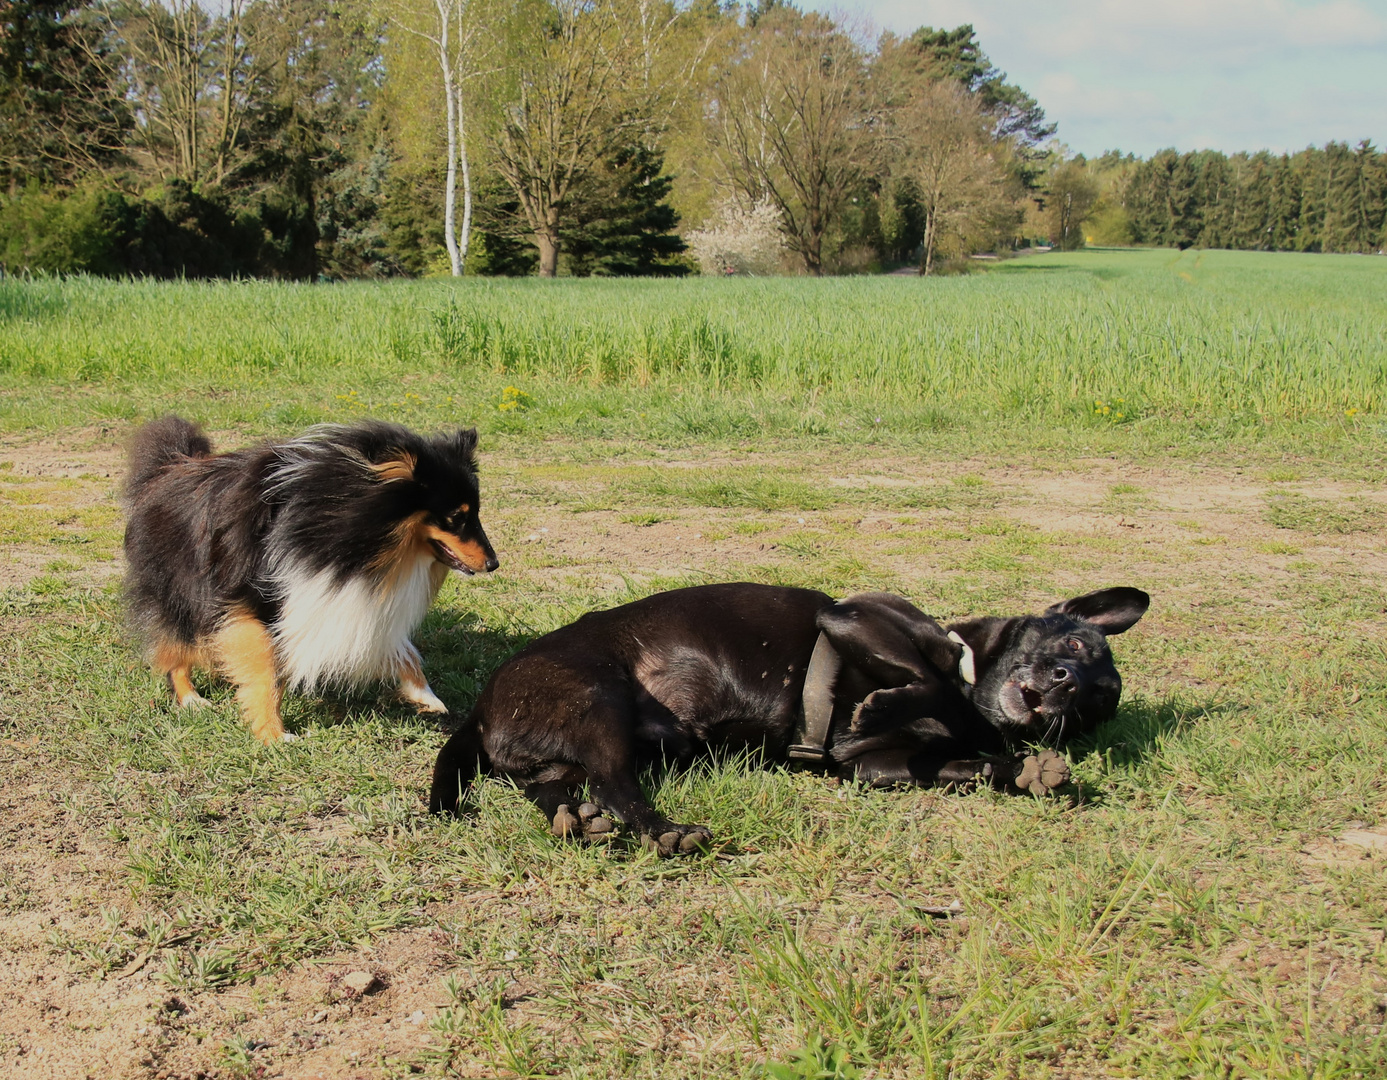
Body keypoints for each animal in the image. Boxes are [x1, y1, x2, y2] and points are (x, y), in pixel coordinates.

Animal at [120, 413, 499, 743]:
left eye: (476, 513)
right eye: (456, 517)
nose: (494, 563)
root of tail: (168, 466)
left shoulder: (339, 597)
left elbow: (400, 649)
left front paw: (426, 696)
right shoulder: (259, 602)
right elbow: (266, 672)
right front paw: (273, 735)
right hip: (181, 590)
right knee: (173, 646)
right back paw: (191, 699)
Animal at [432, 582, 1148, 854]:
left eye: (1096, 704)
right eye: (1075, 643)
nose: (1067, 687)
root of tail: (485, 700)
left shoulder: (871, 766)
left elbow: (965, 763)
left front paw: (1024, 770)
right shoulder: (854, 619)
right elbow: (931, 672)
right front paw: (898, 697)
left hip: (592, 746)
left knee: (557, 788)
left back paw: (573, 819)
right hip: (600, 702)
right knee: (615, 785)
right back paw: (667, 831)